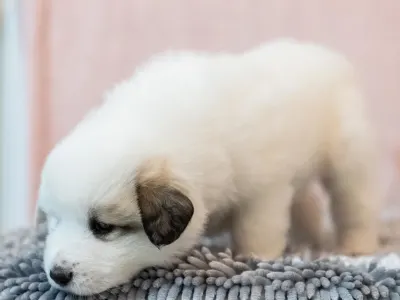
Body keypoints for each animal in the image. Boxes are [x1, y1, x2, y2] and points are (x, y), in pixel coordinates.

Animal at [37, 39, 382, 296]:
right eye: (54, 222)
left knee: (355, 203)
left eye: (103, 227)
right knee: (306, 203)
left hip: (348, 157)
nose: (57, 275)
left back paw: (356, 245)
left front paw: (255, 259)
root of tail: (326, 55)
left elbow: (256, 229)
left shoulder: (263, 192)